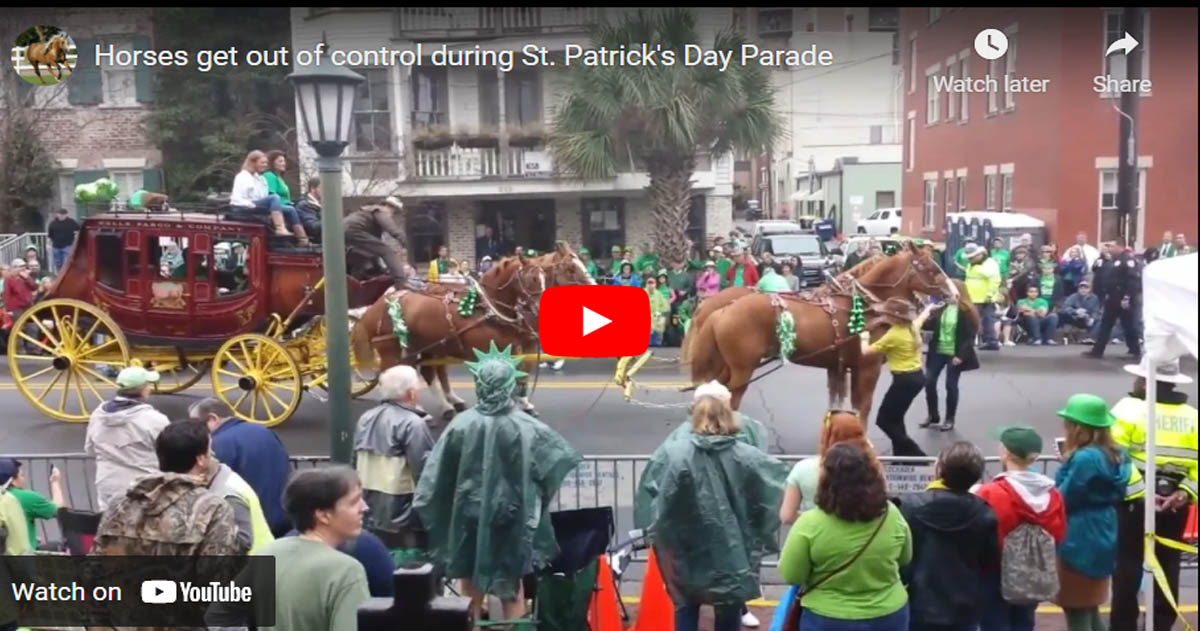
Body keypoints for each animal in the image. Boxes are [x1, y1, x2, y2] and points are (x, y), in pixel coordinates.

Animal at [686, 244, 955, 417]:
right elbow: (864, 407)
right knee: (731, 400)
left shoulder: (845, 367)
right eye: (931, 268)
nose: (953, 292)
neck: (868, 306)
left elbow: (848, 406)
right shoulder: (868, 368)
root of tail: (724, 309)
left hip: (727, 366)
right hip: (743, 368)